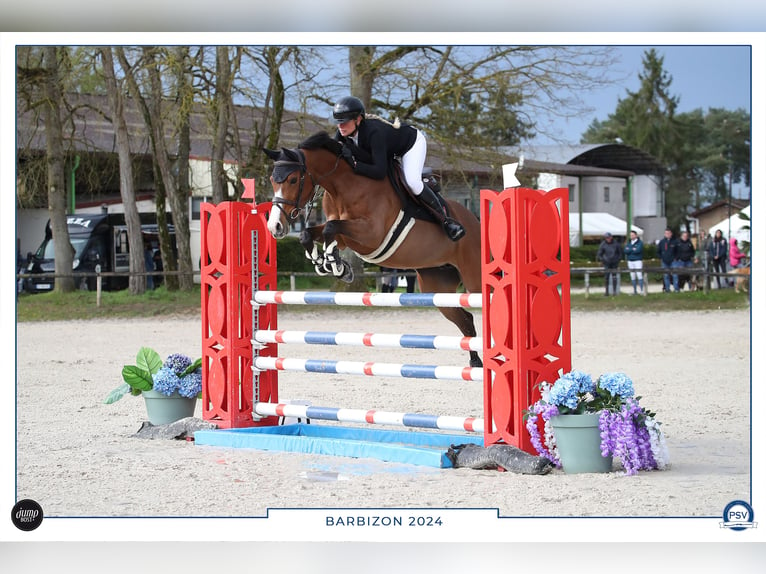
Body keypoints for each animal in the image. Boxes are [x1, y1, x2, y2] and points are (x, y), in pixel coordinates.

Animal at [260, 132, 484, 368]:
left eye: (293, 180)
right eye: (272, 180)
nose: (275, 227)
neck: (342, 185)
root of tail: (474, 220)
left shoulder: (371, 234)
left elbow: (332, 228)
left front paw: (334, 263)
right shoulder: (345, 236)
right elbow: (311, 233)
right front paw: (332, 265)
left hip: (474, 279)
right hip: (438, 287)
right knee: (465, 319)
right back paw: (476, 363)